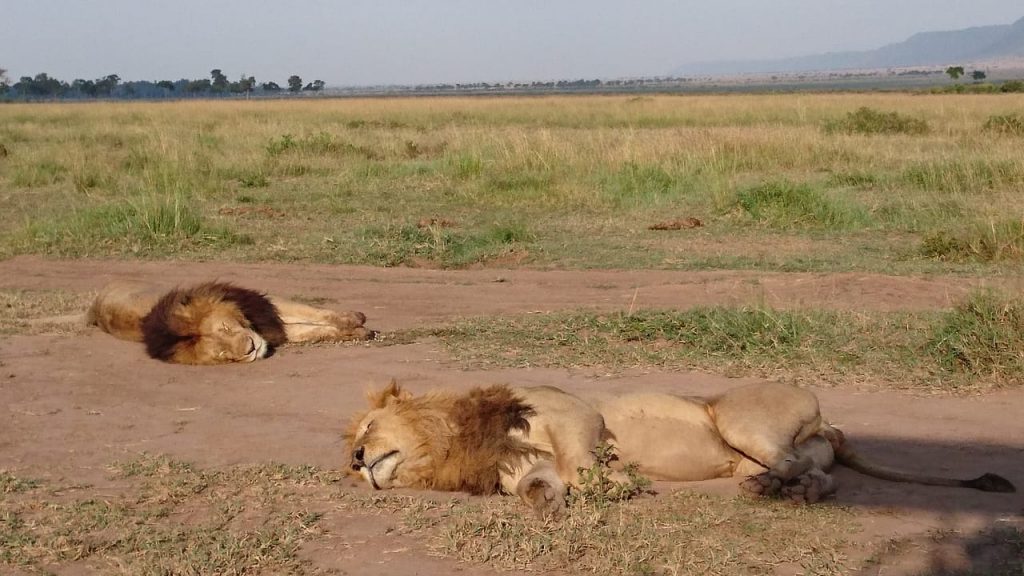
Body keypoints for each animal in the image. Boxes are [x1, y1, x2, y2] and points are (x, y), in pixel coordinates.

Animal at [87, 278, 376, 362]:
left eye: (225, 327)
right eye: (223, 354)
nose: (251, 348)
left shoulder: (263, 305)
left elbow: (313, 313)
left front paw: (355, 318)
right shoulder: (271, 328)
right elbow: (313, 331)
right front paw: (357, 332)